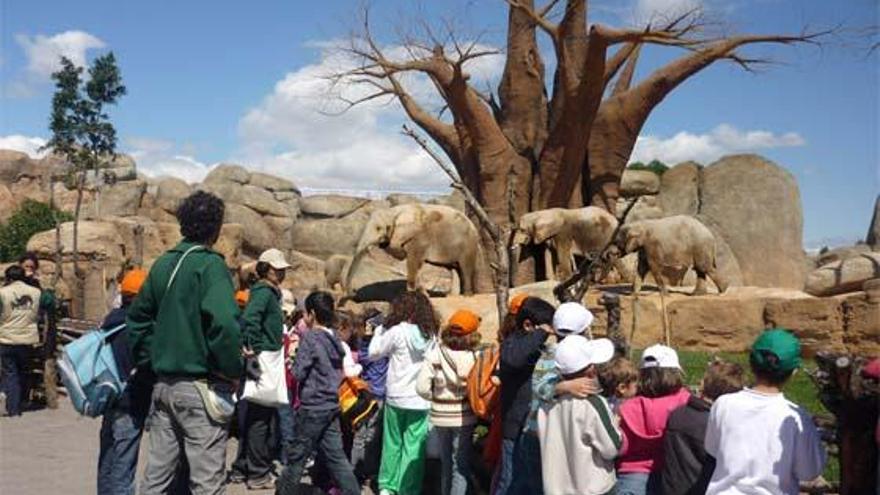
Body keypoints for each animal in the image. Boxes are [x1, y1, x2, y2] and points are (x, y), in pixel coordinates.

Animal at [346, 203, 482, 296]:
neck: (394, 211)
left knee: (465, 269)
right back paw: (451, 296)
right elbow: (415, 264)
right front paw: (423, 294)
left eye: (379, 228)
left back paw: (466, 296)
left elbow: (413, 261)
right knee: (455, 270)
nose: (353, 292)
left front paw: (412, 294)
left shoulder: (419, 238)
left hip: (469, 245)